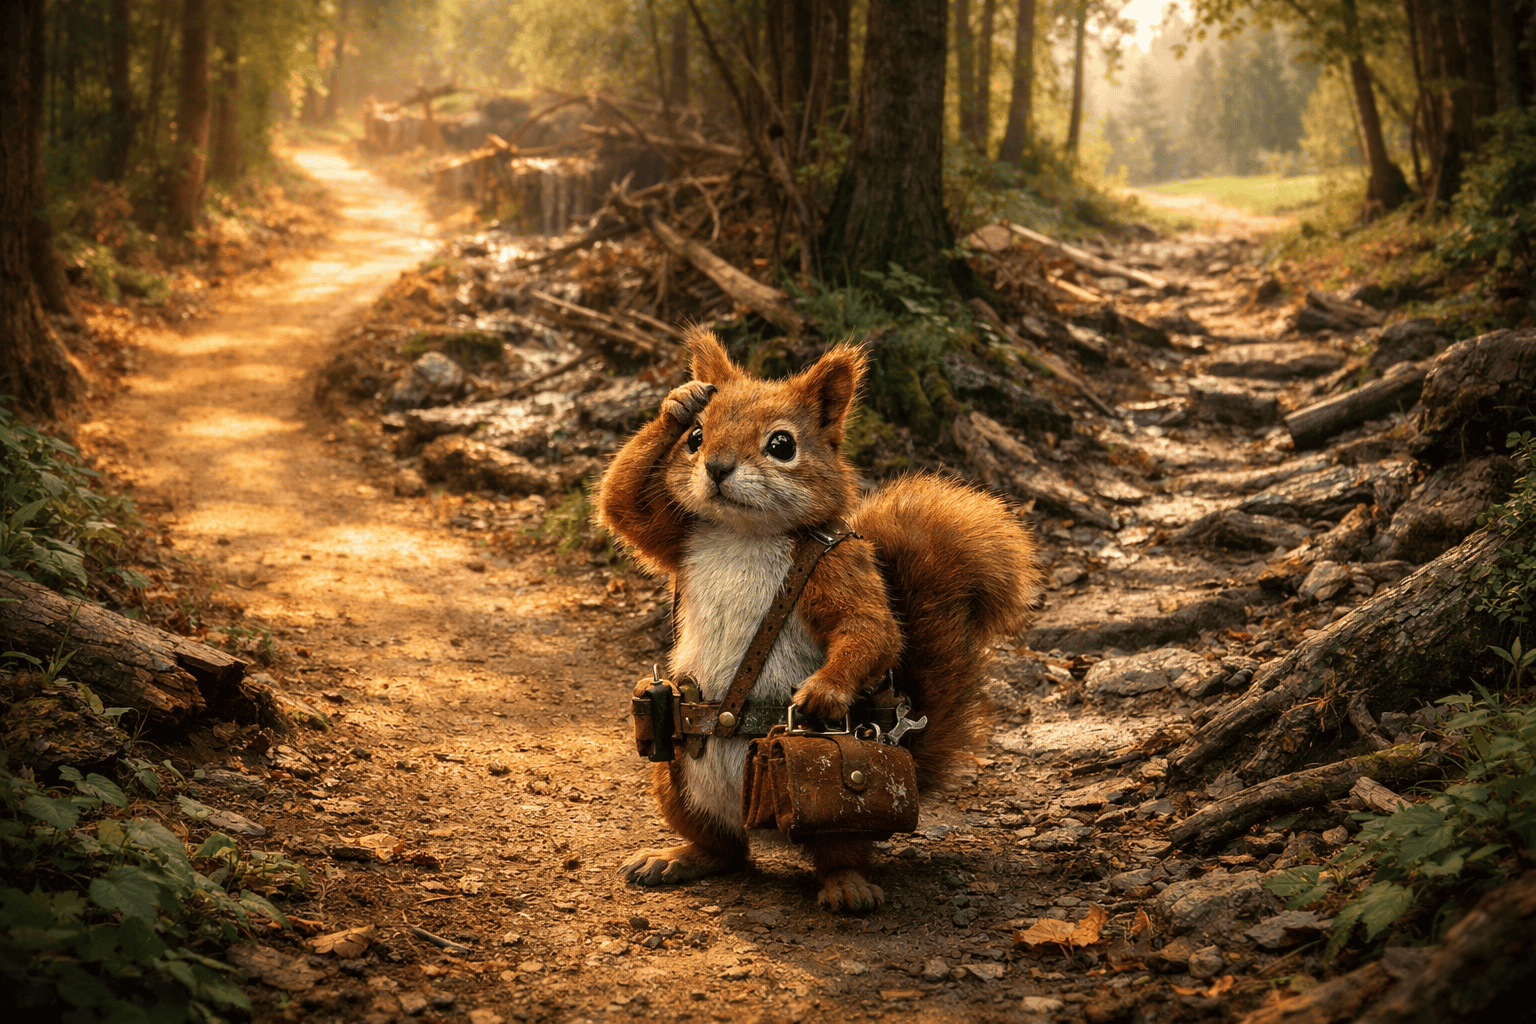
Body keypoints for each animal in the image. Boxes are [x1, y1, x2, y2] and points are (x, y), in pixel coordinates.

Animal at [596, 328, 1043, 912]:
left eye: (782, 445)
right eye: (695, 437)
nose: (715, 467)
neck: (744, 531)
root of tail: (767, 829)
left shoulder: (837, 562)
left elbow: (870, 627)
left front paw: (824, 690)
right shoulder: (680, 534)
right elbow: (623, 503)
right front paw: (678, 399)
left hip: (839, 814)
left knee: (838, 851)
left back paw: (847, 886)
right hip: (673, 776)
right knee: (726, 850)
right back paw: (681, 857)